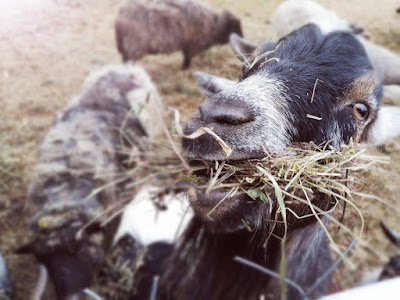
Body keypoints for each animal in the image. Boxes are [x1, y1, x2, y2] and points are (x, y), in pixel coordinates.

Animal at [114, 0, 242, 68]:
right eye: (235, 26)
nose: (242, 37)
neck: (214, 25)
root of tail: (121, 13)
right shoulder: (192, 45)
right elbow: (187, 59)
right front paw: (184, 68)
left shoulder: (188, 45)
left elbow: (186, 57)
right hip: (133, 46)